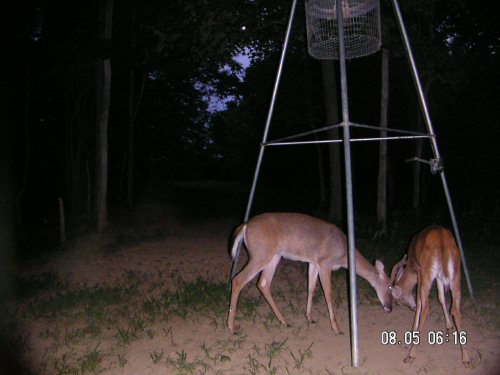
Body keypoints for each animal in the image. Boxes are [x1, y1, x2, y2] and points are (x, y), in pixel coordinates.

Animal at [227, 213, 394, 336]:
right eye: (390, 286)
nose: (390, 308)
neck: (344, 255)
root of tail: (244, 226)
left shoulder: (314, 263)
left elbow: (311, 287)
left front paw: (309, 317)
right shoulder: (325, 263)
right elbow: (328, 293)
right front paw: (337, 328)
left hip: (273, 256)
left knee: (263, 283)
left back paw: (284, 321)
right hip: (260, 254)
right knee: (238, 280)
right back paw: (232, 328)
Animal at [390, 226, 468, 368]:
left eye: (398, 302)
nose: (411, 308)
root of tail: (442, 240)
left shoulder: (419, 272)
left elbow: (419, 301)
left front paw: (413, 329)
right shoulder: (438, 276)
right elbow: (441, 297)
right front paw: (449, 326)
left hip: (426, 272)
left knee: (426, 308)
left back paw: (411, 355)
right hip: (456, 274)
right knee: (455, 309)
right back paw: (466, 359)